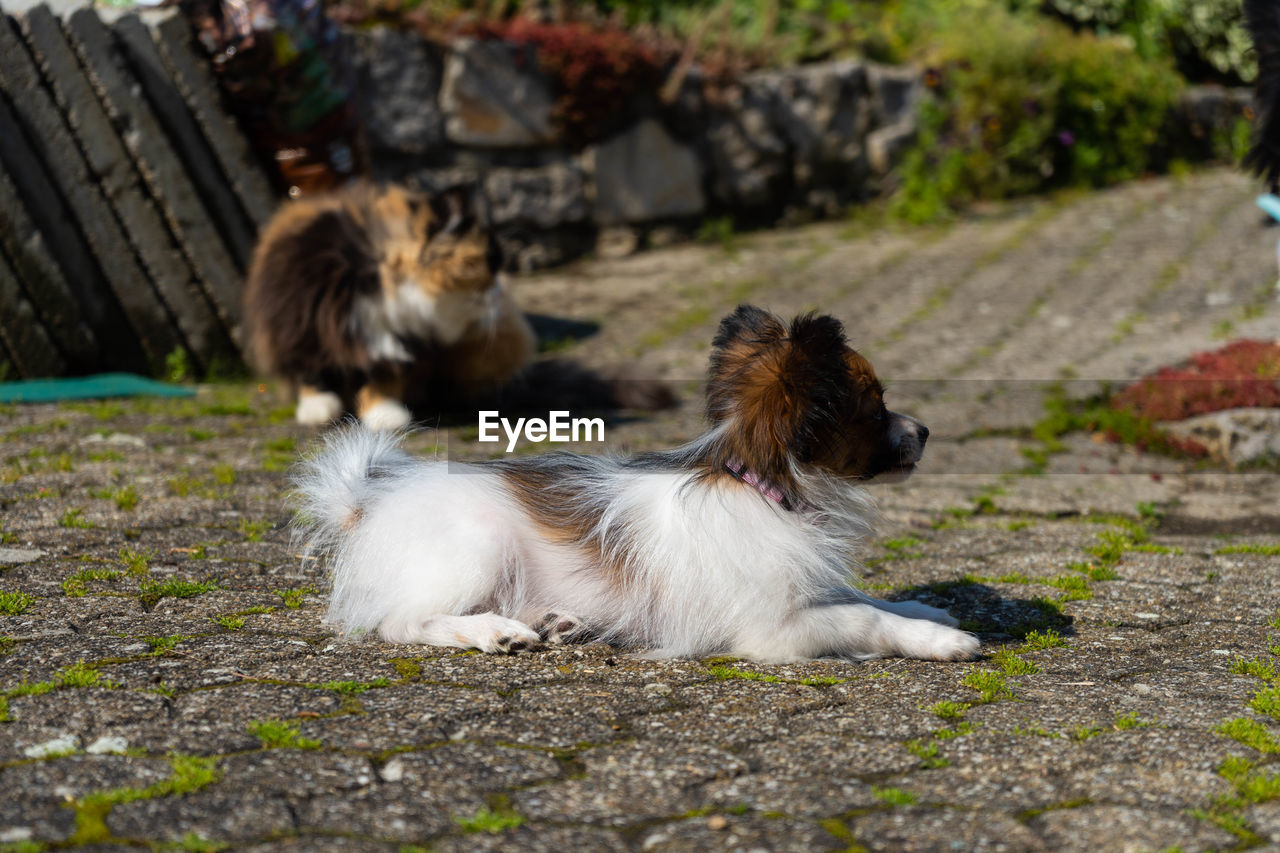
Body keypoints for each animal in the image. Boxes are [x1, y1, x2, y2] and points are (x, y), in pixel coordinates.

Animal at [240, 181, 535, 427]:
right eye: (491, 261)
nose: (501, 289)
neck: (381, 275)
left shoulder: (401, 342)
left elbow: (386, 377)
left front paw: (386, 417)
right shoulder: (302, 325)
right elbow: (313, 371)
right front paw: (318, 410)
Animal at [294, 302, 983, 660]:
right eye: (875, 406)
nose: (926, 431)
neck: (759, 487)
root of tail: (366, 502)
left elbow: (865, 598)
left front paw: (923, 608)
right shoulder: (773, 629)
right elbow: (862, 619)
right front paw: (938, 639)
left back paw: (558, 622)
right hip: (476, 545)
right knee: (402, 622)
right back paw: (493, 631)